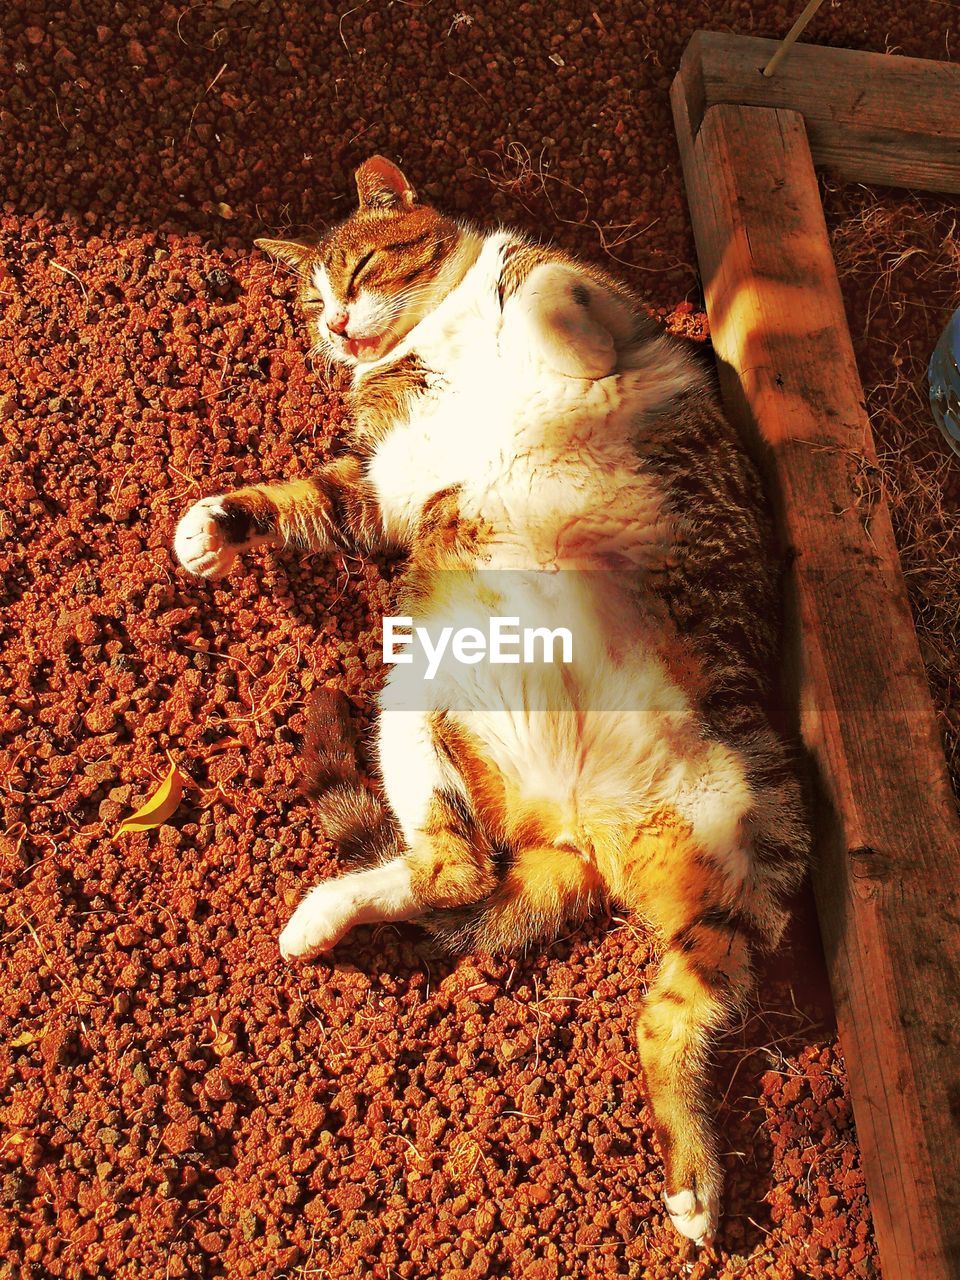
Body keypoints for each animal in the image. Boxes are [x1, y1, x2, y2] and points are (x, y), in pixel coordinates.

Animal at [175, 154, 814, 1244]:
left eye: (362, 268)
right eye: (310, 300)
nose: (337, 324)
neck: (433, 340)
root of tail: (581, 824)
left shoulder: (594, 299)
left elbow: (552, 286)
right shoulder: (383, 481)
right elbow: (306, 498)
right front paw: (210, 527)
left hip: (761, 828)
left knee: (627, 986)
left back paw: (694, 1188)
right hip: (416, 706)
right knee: (460, 872)